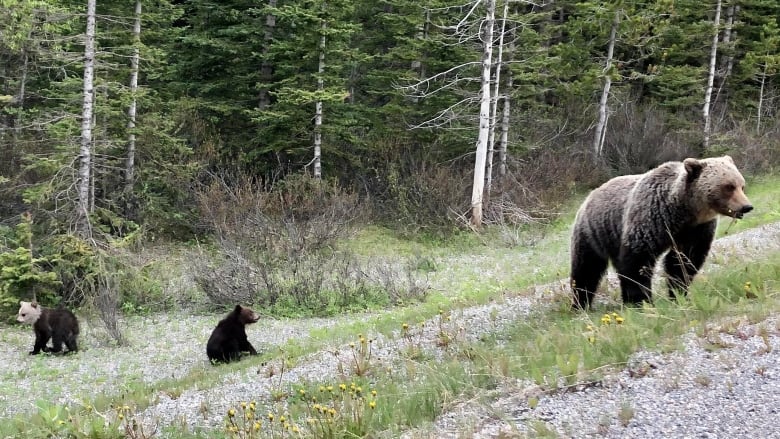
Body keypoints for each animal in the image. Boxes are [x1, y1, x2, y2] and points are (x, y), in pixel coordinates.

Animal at [568, 156, 752, 310]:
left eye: (741, 185)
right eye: (728, 187)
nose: (746, 206)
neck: (684, 211)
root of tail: (590, 196)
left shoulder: (696, 230)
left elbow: (683, 261)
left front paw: (679, 294)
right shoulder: (651, 219)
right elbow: (638, 262)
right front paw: (641, 301)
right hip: (593, 232)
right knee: (586, 269)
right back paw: (580, 304)